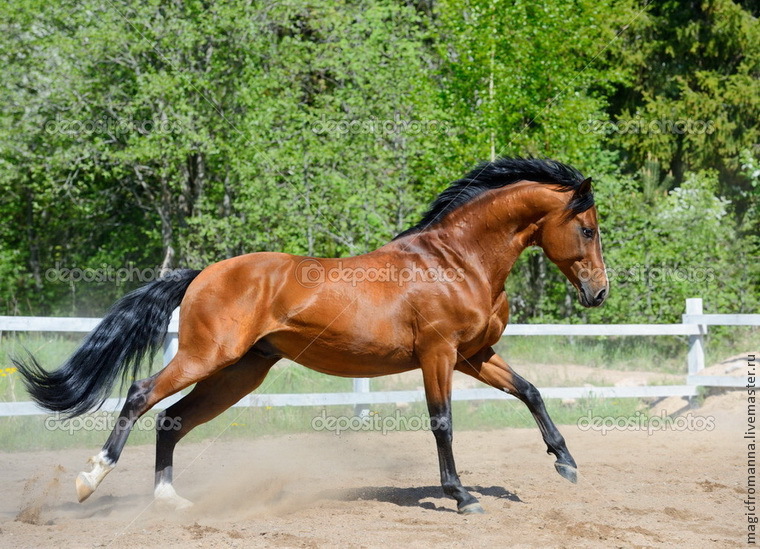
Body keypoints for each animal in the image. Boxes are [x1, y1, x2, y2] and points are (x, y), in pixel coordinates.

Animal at [14, 155, 608, 512]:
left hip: (241, 372)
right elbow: (442, 423)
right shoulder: (439, 354)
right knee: (141, 397)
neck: (457, 263)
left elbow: (530, 391)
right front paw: (461, 495)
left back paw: (171, 501)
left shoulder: (474, 354)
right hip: (208, 356)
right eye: (587, 228)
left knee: (171, 418)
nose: (599, 293)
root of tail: (203, 274)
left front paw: (567, 464)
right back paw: (91, 479)